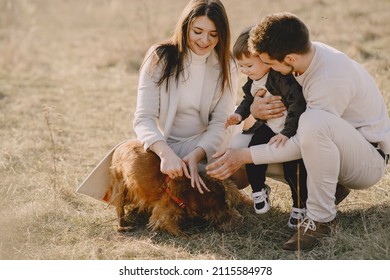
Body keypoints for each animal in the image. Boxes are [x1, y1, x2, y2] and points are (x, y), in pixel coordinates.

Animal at [106, 140, 247, 236]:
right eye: (228, 208)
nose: (241, 219)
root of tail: (120, 146)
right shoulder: (163, 213)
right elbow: (174, 228)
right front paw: (185, 235)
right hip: (120, 185)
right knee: (119, 209)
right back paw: (123, 226)